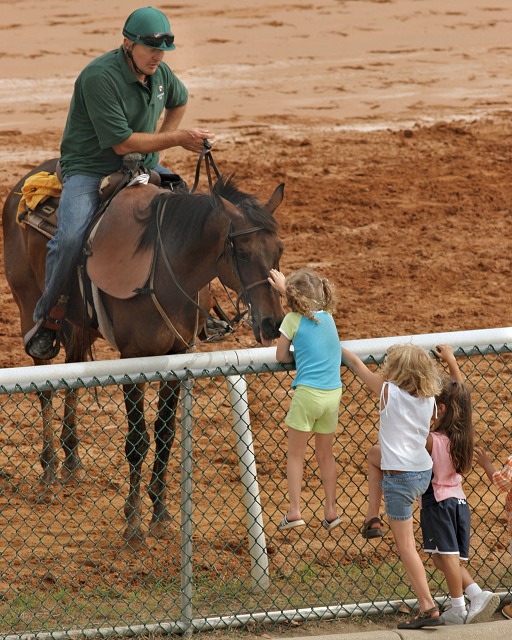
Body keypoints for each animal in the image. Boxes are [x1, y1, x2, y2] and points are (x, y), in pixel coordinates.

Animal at [2, 160, 286, 544]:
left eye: (278, 250)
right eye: (241, 252)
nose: (272, 323)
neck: (166, 267)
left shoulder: (178, 354)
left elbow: (165, 433)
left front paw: (160, 514)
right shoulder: (132, 359)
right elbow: (137, 439)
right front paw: (134, 522)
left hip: (80, 327)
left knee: (71, 373)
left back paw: (72, 462)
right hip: (27, 307)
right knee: (44, 382)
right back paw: (48, 470)